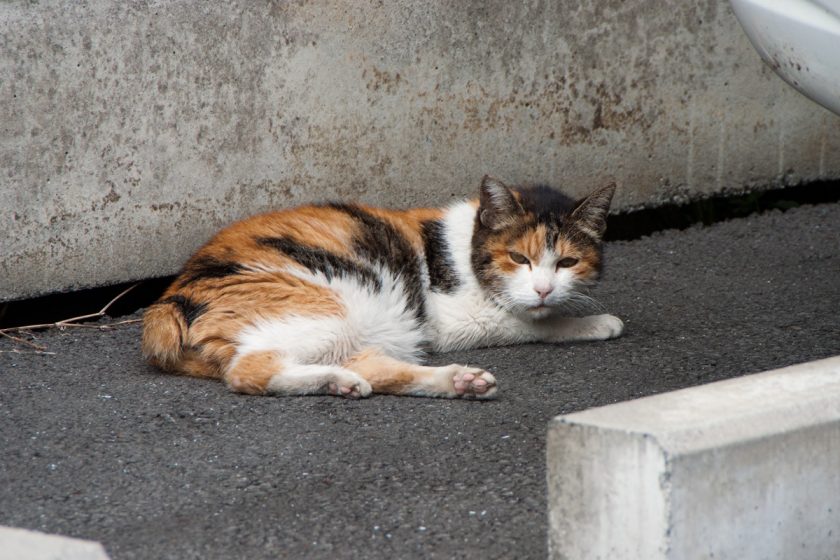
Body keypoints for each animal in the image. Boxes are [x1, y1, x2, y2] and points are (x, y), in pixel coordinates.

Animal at [141, 175, 620, 398]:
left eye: (567, 262)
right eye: (519, 258)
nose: (543, 289)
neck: (462, 247)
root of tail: (168, 302)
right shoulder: (456, 319)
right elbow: (533, 324)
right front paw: (593, 322)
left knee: (378, 368)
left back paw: (454, 382)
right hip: (333, 308)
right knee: (249, 370)